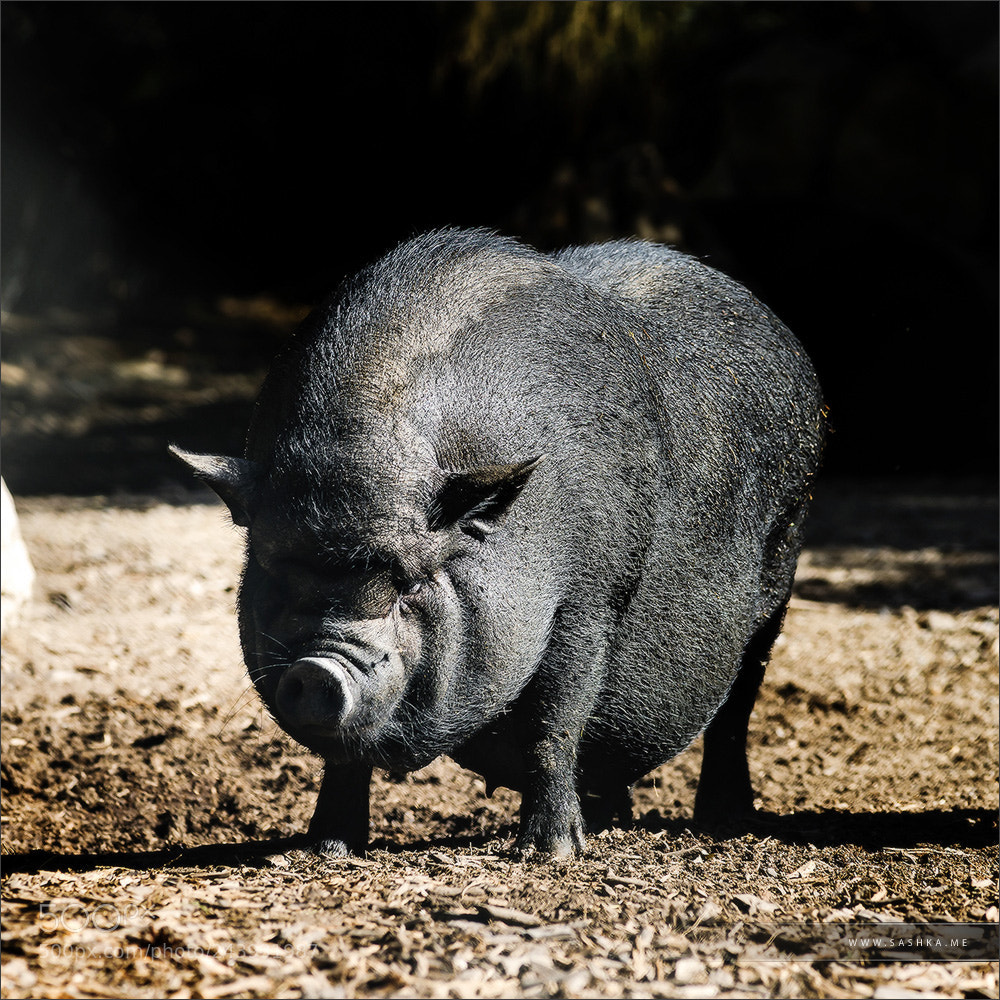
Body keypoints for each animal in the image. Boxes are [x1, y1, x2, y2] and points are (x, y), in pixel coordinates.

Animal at [172, 228, 825, 858]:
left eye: (409, 584)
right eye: (277, 572)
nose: (316, 669)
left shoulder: (590, 597)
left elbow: (554, 721)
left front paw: (551, 854)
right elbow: (343, 759)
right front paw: (325, 850)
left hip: (784, 559)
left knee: (737, 704)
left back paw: (723, 820)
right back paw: (613, 820)